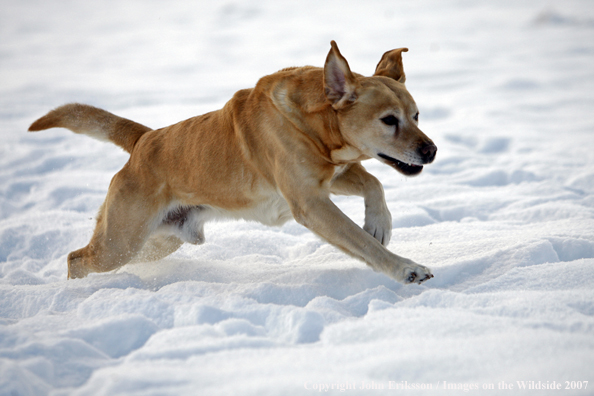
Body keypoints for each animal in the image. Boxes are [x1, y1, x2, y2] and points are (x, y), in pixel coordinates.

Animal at [28, 41, 434, 284]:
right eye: (389, 120)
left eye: (416, 115)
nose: (431, 151)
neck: (313, 123)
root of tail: (145, 139)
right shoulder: (310, 202)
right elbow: (363, 243)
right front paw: (405, 267)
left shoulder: (328, 177)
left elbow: (373, 184)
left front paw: (378, 223)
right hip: (120, 242)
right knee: (76, 259)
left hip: (156, 241)